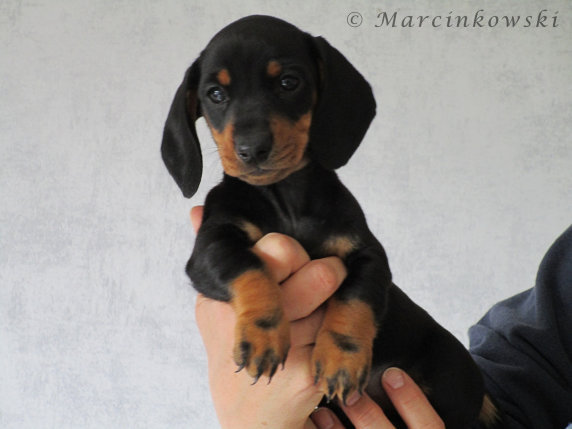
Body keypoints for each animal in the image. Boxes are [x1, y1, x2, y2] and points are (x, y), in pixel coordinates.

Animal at [161, 15, 501, 428]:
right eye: (215, 94)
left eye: (288, 82)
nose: (251, 149)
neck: (286, 200)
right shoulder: (211, 246)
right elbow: (247, 264)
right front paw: (263, 334)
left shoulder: (368, 255)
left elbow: (354, 298)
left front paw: (342, 359)